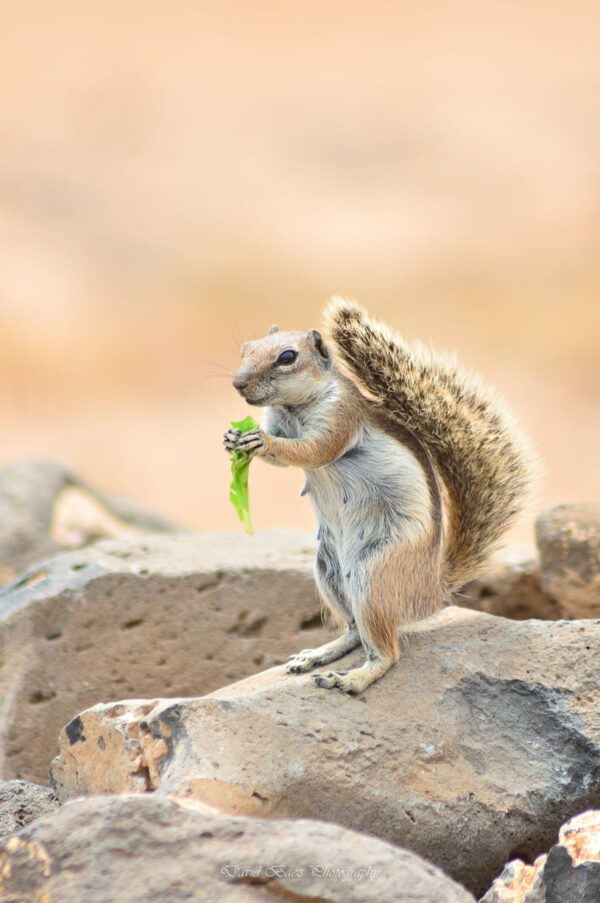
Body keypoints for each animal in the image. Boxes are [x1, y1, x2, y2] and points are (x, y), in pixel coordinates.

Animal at [223, 300, 540, 696]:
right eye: (244, 349)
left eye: (287, 357)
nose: (237, 383)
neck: (293, 407)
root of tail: (431, 589)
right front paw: (234, 437)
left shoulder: (340, 417)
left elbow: (312, 450)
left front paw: (260, 441)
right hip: (328, 572)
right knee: (353, 632)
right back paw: (318, 655)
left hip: (374, 577)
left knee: (386, 653)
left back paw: (350, 678)